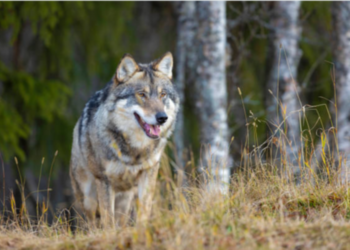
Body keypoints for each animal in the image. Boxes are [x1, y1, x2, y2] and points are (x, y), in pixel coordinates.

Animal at [69, 51, 178, 226]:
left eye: (163, 94)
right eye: (142, 94)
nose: (162, 118)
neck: (135, 150)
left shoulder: (149, 174)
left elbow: (144, 211)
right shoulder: (104, 181)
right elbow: (108, 221)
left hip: (124, 201)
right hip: (88, 199)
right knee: (91, 223)